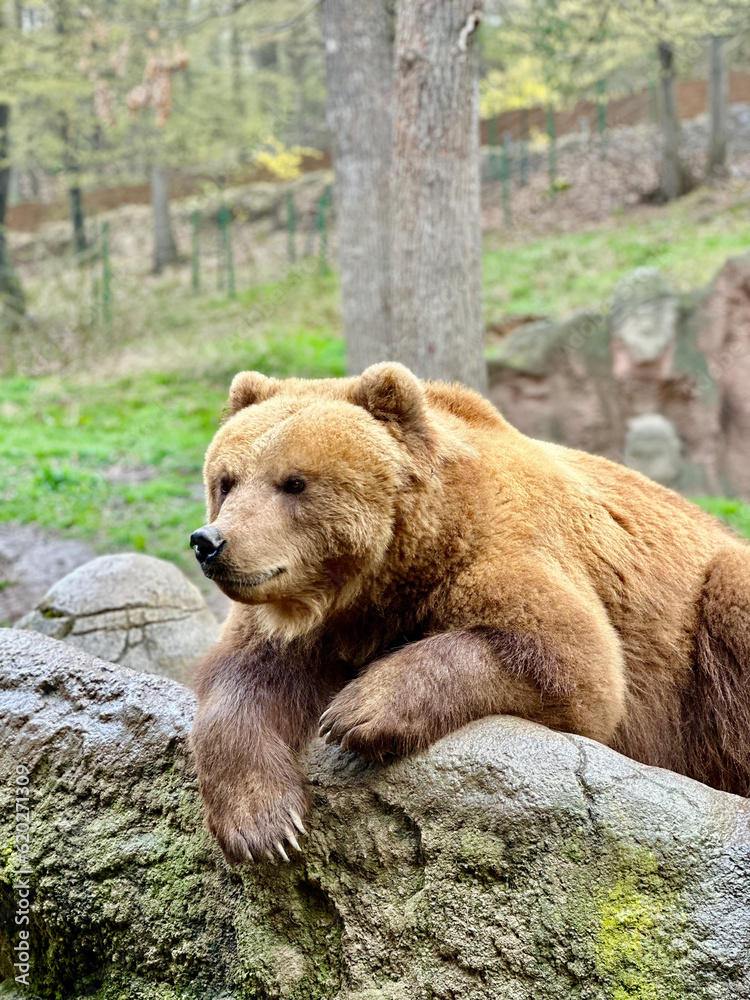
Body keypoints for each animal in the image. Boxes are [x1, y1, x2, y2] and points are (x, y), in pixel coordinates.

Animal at [189, 362, 750, 865]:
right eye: (227, 481)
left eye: (294, 482)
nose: (210, 542)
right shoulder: (302, 624)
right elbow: (244, 682)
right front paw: (265, 824)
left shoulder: (502, 550)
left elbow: (572, 663)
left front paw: (356, 712)